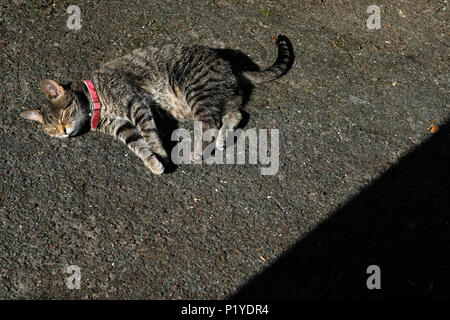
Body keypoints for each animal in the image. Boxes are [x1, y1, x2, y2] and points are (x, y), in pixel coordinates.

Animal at [20, 35, 296, 174]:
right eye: (51, 131)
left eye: (63, 116)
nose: (64, 133)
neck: (96, 102)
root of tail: (230, 66)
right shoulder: (121, 127)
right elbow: (138, 145)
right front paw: (153, 163)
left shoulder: (135, 104)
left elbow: (149, 135)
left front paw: (161, 153)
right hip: (218, 97)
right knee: (235, 115)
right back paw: (220, 141)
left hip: (196, 91)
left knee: (211, 124)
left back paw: (199, 150)